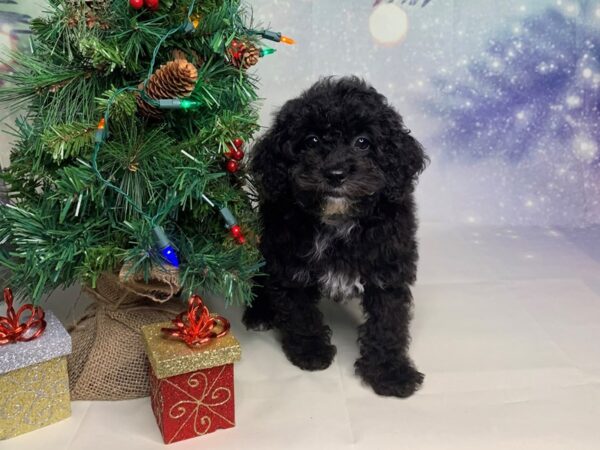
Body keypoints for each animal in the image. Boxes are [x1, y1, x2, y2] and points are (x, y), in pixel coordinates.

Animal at [244, 76, 426, 398]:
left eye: (363, 142)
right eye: (312, 141)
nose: (336, 173)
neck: (338, 221)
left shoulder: (388, 268)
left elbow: (388, 322)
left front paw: (390, 372)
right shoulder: (289, 263)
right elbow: (300, 312)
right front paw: (311, 352)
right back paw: (260, 312)